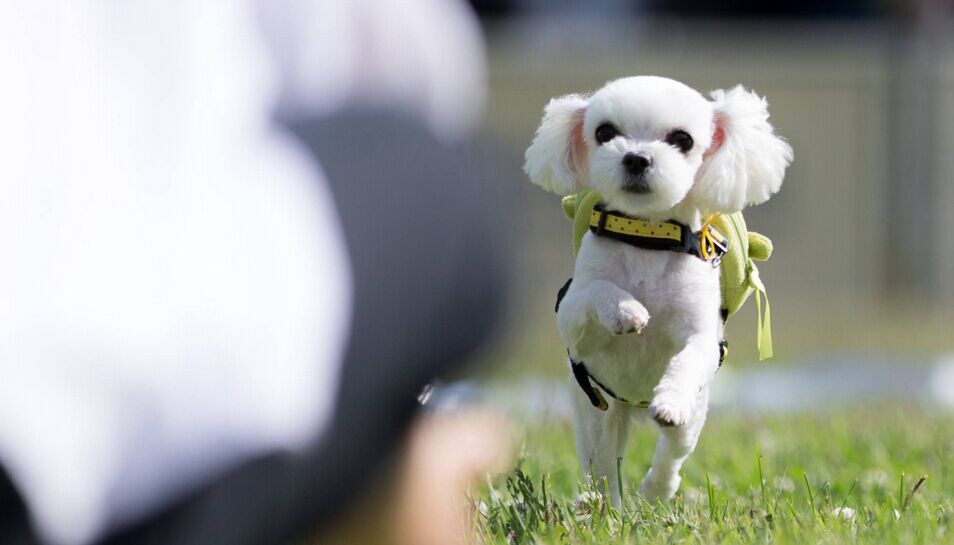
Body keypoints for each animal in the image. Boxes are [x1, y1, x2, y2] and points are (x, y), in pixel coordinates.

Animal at [520, 75, 788, 506]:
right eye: (605, 132)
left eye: (682, 139)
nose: (636, 158)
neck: (647, 236)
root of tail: (634, 404)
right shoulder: (573, 322)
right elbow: (596, 291)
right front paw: (625, 310)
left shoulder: (701, 337)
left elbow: (689, 359)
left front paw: (670, 400)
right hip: (597, 412)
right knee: (603, 467)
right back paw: (605, 507)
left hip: (693, 416)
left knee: (673, 451)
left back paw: (654, 489)